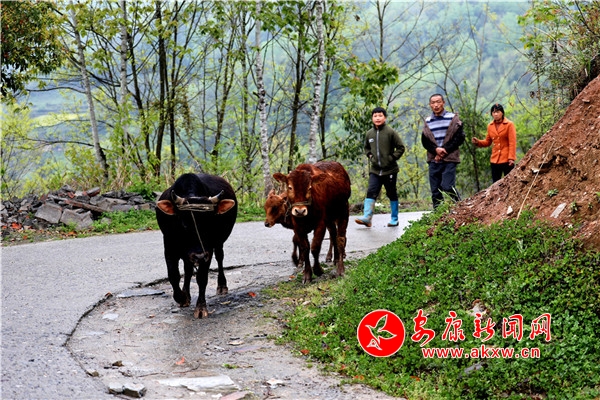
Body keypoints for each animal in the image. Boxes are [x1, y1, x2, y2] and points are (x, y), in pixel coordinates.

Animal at [155, 173, 237, 319]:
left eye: (211, 223)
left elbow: (202, 278)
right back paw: (186, 294)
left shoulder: (207, 252)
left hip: (218, 244)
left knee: (220, 258)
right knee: (187, 269)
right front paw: (182, 297)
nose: (199, 256)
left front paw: (200, 307)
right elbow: (173, 275)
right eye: (184, 223)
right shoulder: (169, 248)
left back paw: (222, 286)